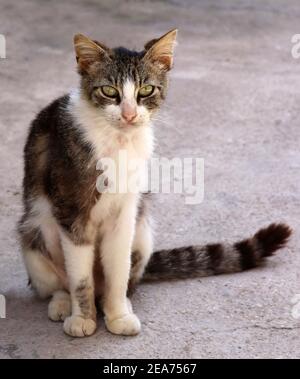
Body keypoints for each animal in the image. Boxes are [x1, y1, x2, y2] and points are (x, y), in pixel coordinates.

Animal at [17, 30, 292, 338]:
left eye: (146, 90)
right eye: (109, 91)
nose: (128, 114)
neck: (119, 141)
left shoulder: (126, 212)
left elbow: (118, 268)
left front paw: (117, 315)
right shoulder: (71, 210)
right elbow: (80, 277)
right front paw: (83, 318)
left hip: (143, 231)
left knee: (128, 278)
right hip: (34, 231)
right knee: (55, 282)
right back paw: (62, 303)